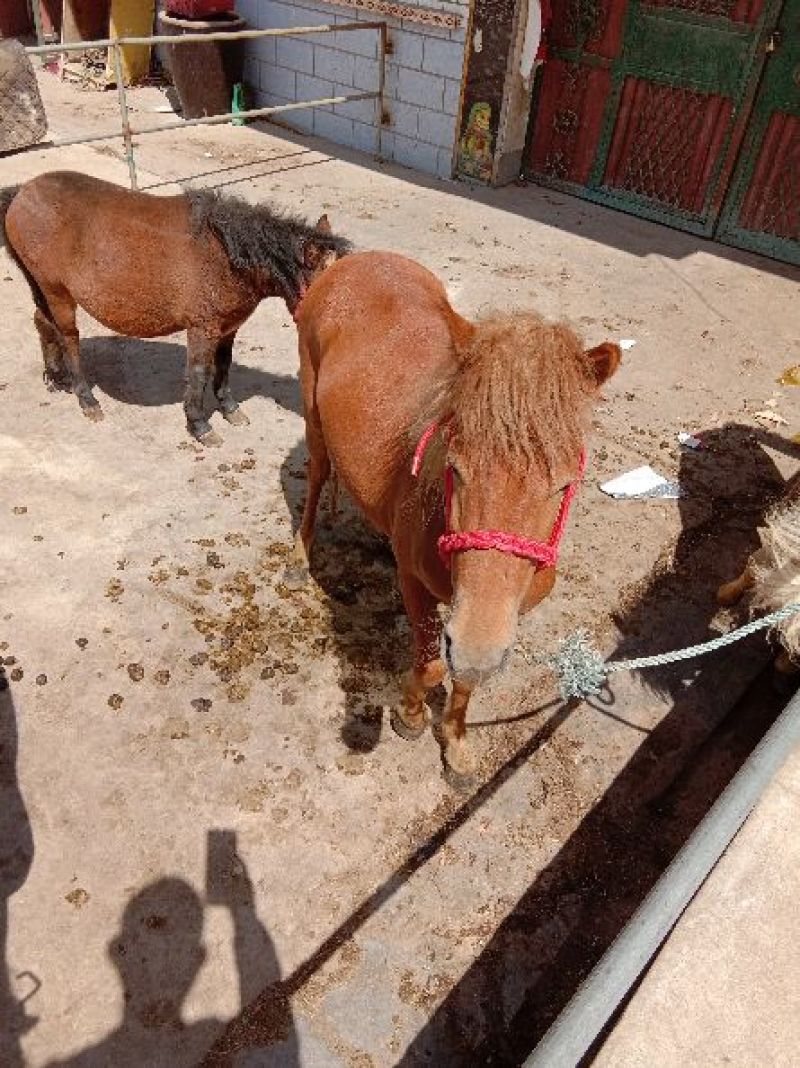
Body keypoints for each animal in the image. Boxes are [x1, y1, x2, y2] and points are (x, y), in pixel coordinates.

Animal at [0, 171, 350, 445]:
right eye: (328, 291)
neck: (224, 254)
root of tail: (23, 191)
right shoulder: (201, 328)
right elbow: (198, 373)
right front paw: (199, 424)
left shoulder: (228, 328)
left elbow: (223, 367)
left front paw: (229, 409)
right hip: (57, 291)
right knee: (68, 337)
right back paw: (86, 397)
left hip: (43, 289)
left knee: (43, 324)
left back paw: (57, 378)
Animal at [294, 251, 621, 787]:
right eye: (455, 466)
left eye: (564, 483)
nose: (475, 646)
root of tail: (356, 259)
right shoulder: (417, 588)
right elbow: (430, 666)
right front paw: (409, 715)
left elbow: (465, 683)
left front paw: (456, 746)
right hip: (313, 415)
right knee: (318, 476)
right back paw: (300, 556)